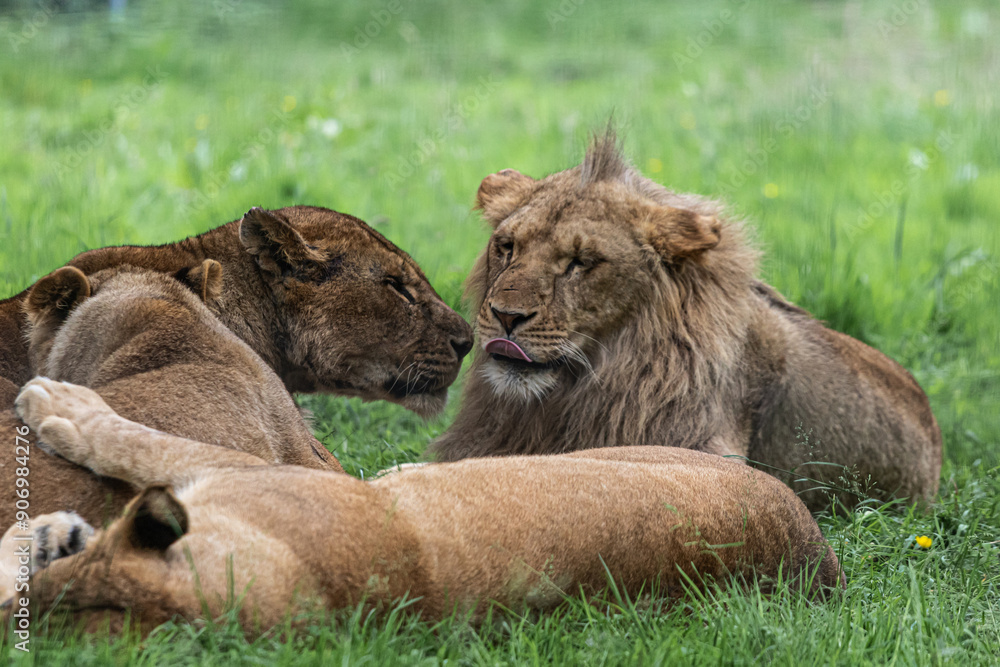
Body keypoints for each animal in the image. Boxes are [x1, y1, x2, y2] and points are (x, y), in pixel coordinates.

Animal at [2, 377, 843, 631]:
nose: (66, 538)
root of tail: (819, 554)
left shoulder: (233, 471)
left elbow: (134, 437)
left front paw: (57, 404)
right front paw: (41, 531)